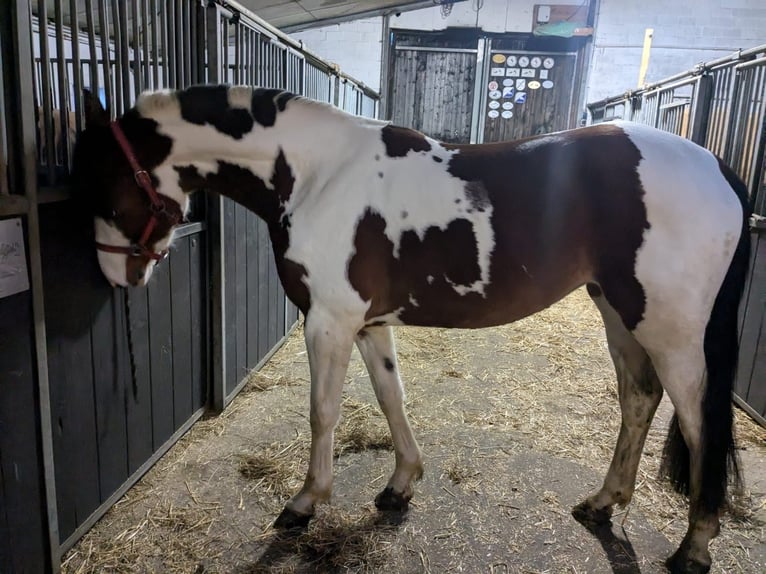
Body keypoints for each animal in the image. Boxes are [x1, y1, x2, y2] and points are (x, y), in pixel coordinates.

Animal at [73, 85, 756, 574]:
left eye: (105, 183)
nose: (113, 274)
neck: (316, 173)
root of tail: (717, 166)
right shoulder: (368, 323)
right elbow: (390, 398)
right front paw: (400, 485)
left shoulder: (328, 322)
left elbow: (323, 413)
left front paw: (304, 503)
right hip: (620, 313)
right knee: (638, 400)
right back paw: (602, 504)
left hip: (670, 330)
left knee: (699, 422)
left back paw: (695, 547)